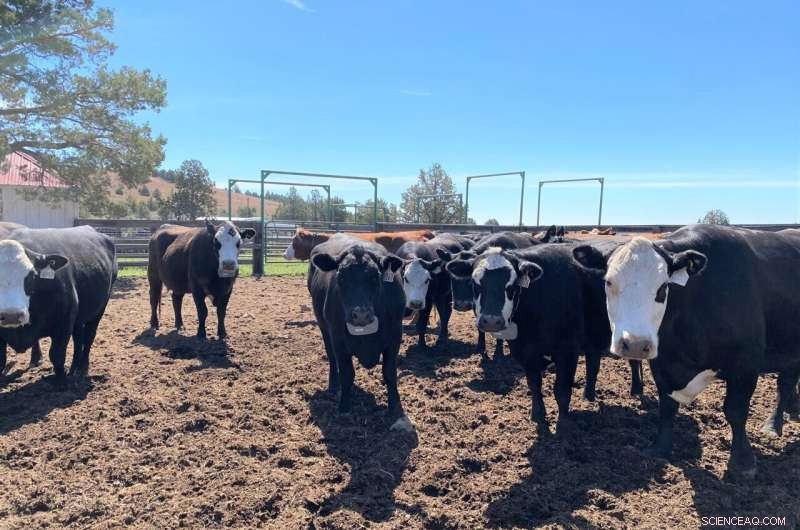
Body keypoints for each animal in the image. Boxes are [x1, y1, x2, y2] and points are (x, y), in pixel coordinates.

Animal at [0, 225, 116, 383]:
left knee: (88, 337)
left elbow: (57, 355)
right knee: (78, 339)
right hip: (79, 318)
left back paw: (83, 368)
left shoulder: (64, 322)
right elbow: (1, 360)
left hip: (100, 308)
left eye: (32, 276)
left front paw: (61, 381)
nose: (11, 315)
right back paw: (72, 368)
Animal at [307, 235, 412, 432]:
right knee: (331, 359)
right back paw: (334, 386)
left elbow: (389, 373)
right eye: (341, 277)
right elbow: (347, 373)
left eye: (375, 277)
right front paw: (344, 407)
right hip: (323, 328)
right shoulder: (338, 339)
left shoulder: (395, 336)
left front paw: (396, 408)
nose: (361, 315)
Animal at [447, 243, 643, 434]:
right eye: (475, 284)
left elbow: (562, 389)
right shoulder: (525, 351)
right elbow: (534, 384)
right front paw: (537, 415)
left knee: (634, 361)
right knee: (593, 364)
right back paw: (588, 396)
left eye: (512, 286)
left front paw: (563, 424)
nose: (492, 321)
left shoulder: (567, 351)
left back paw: (636, 390)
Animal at [572, 224, 800, 478]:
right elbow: (667, 406)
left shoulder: (745, 363)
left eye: (663, 287)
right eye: (609, 282)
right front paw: (660, 448)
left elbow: (735, 410)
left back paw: (772, 425)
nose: (635, 344)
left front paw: (742, 463)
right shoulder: (663, 362)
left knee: (784, 385)